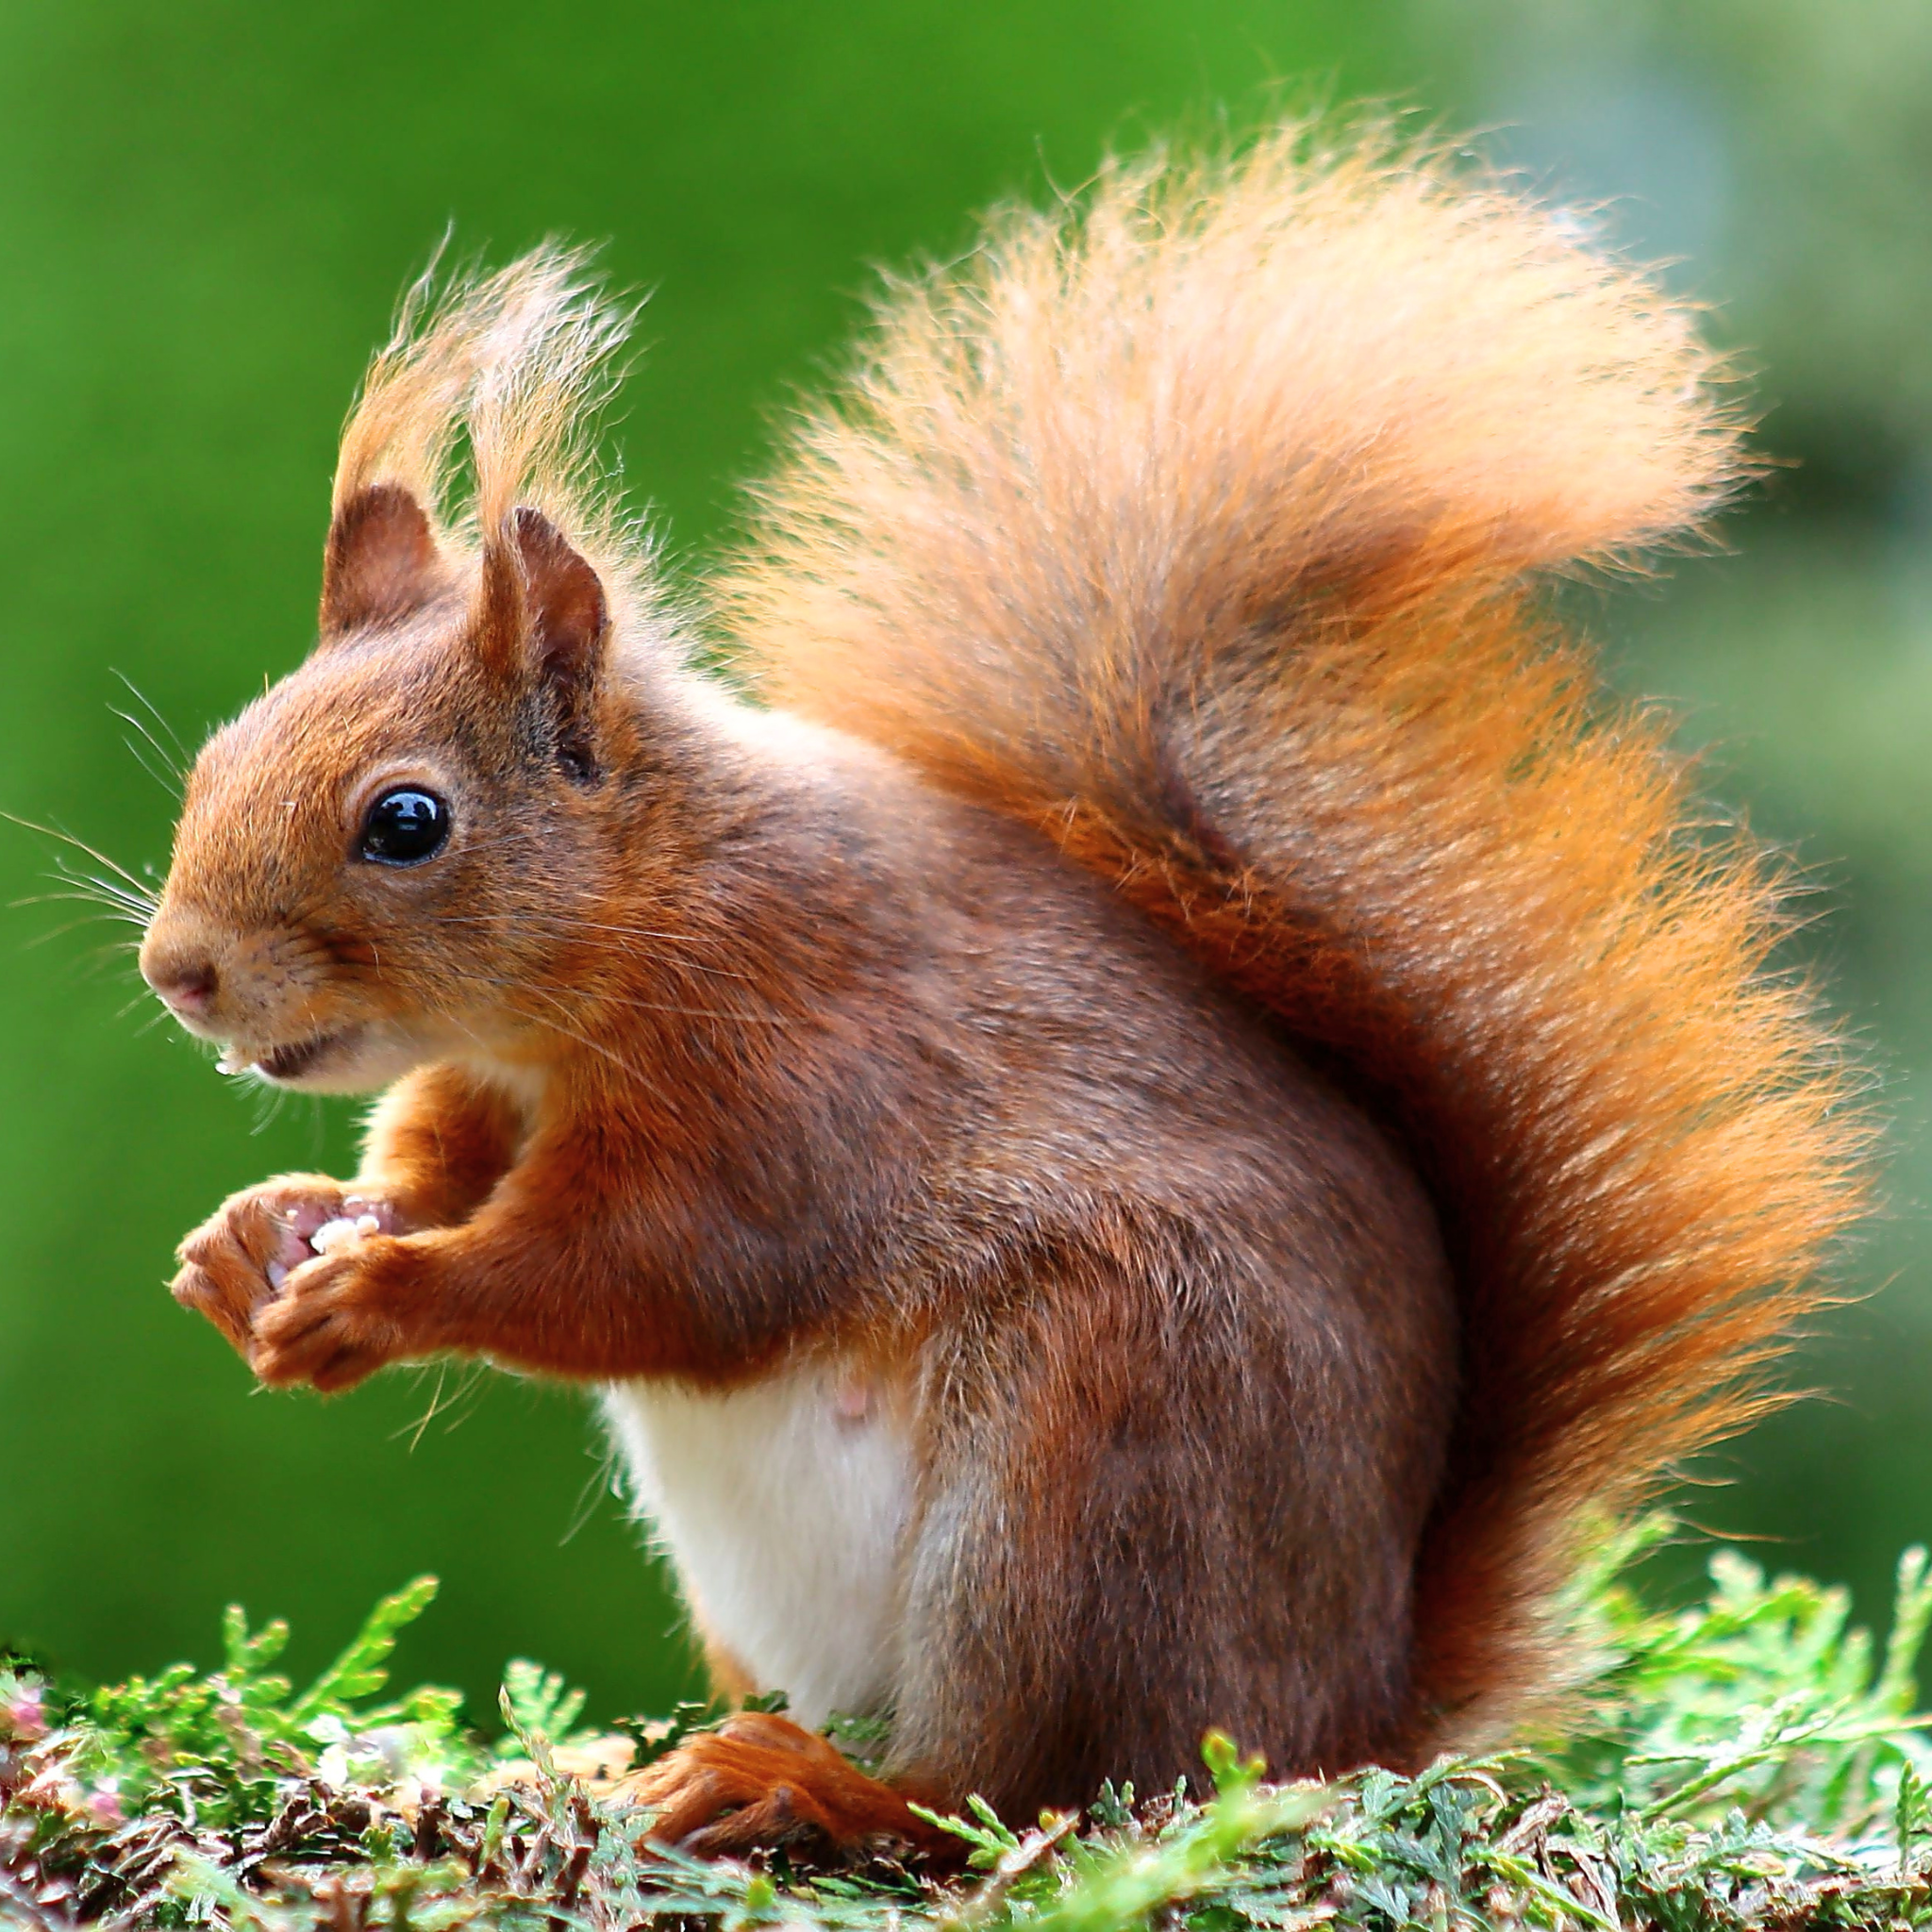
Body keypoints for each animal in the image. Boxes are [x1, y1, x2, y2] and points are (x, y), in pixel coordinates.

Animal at [134, 126, 1869, 1855]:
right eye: (222, 752)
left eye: (404, 822)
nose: (178, 971)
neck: (625, 934)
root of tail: (1345, 1709)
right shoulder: (488, 1082)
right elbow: (435, 1168)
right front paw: (263, 1237)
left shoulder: (793, 1064)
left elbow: (655, 1275)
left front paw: (385, 1293)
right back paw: (616, 1765)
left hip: (1081, 1474)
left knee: (1015, 1781)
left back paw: (807, 1782)